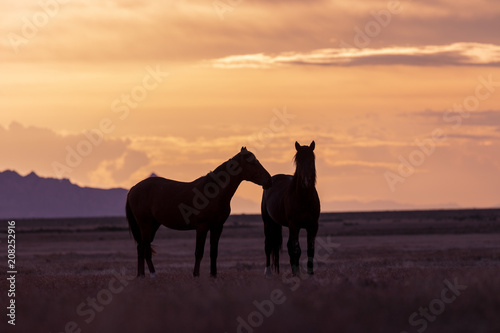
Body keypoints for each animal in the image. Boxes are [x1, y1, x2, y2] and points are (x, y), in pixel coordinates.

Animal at [127, 148, 272, 278]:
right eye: (252, 163)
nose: (269, 180)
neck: (213, 193)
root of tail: (133, 188)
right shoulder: (202, 227)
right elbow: (199, 252)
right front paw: (196, 275)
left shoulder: (217, 227)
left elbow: (214, 252)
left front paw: (213, 275)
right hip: (145, 224)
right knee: (145, 249)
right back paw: (153, 274)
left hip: (153, 225)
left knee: (141, 247)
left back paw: (141, 275)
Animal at [262, 140, 320, 274]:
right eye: (298, 161)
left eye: (312, 160)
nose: (306, 181)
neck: (304, 199)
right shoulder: (295, 225)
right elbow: (297, 250)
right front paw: (297, 274)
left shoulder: (313, 226)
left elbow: (310, 251)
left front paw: (310, 274)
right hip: (268, 222)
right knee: (268, 245)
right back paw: (267, 272)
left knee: (288, 246)